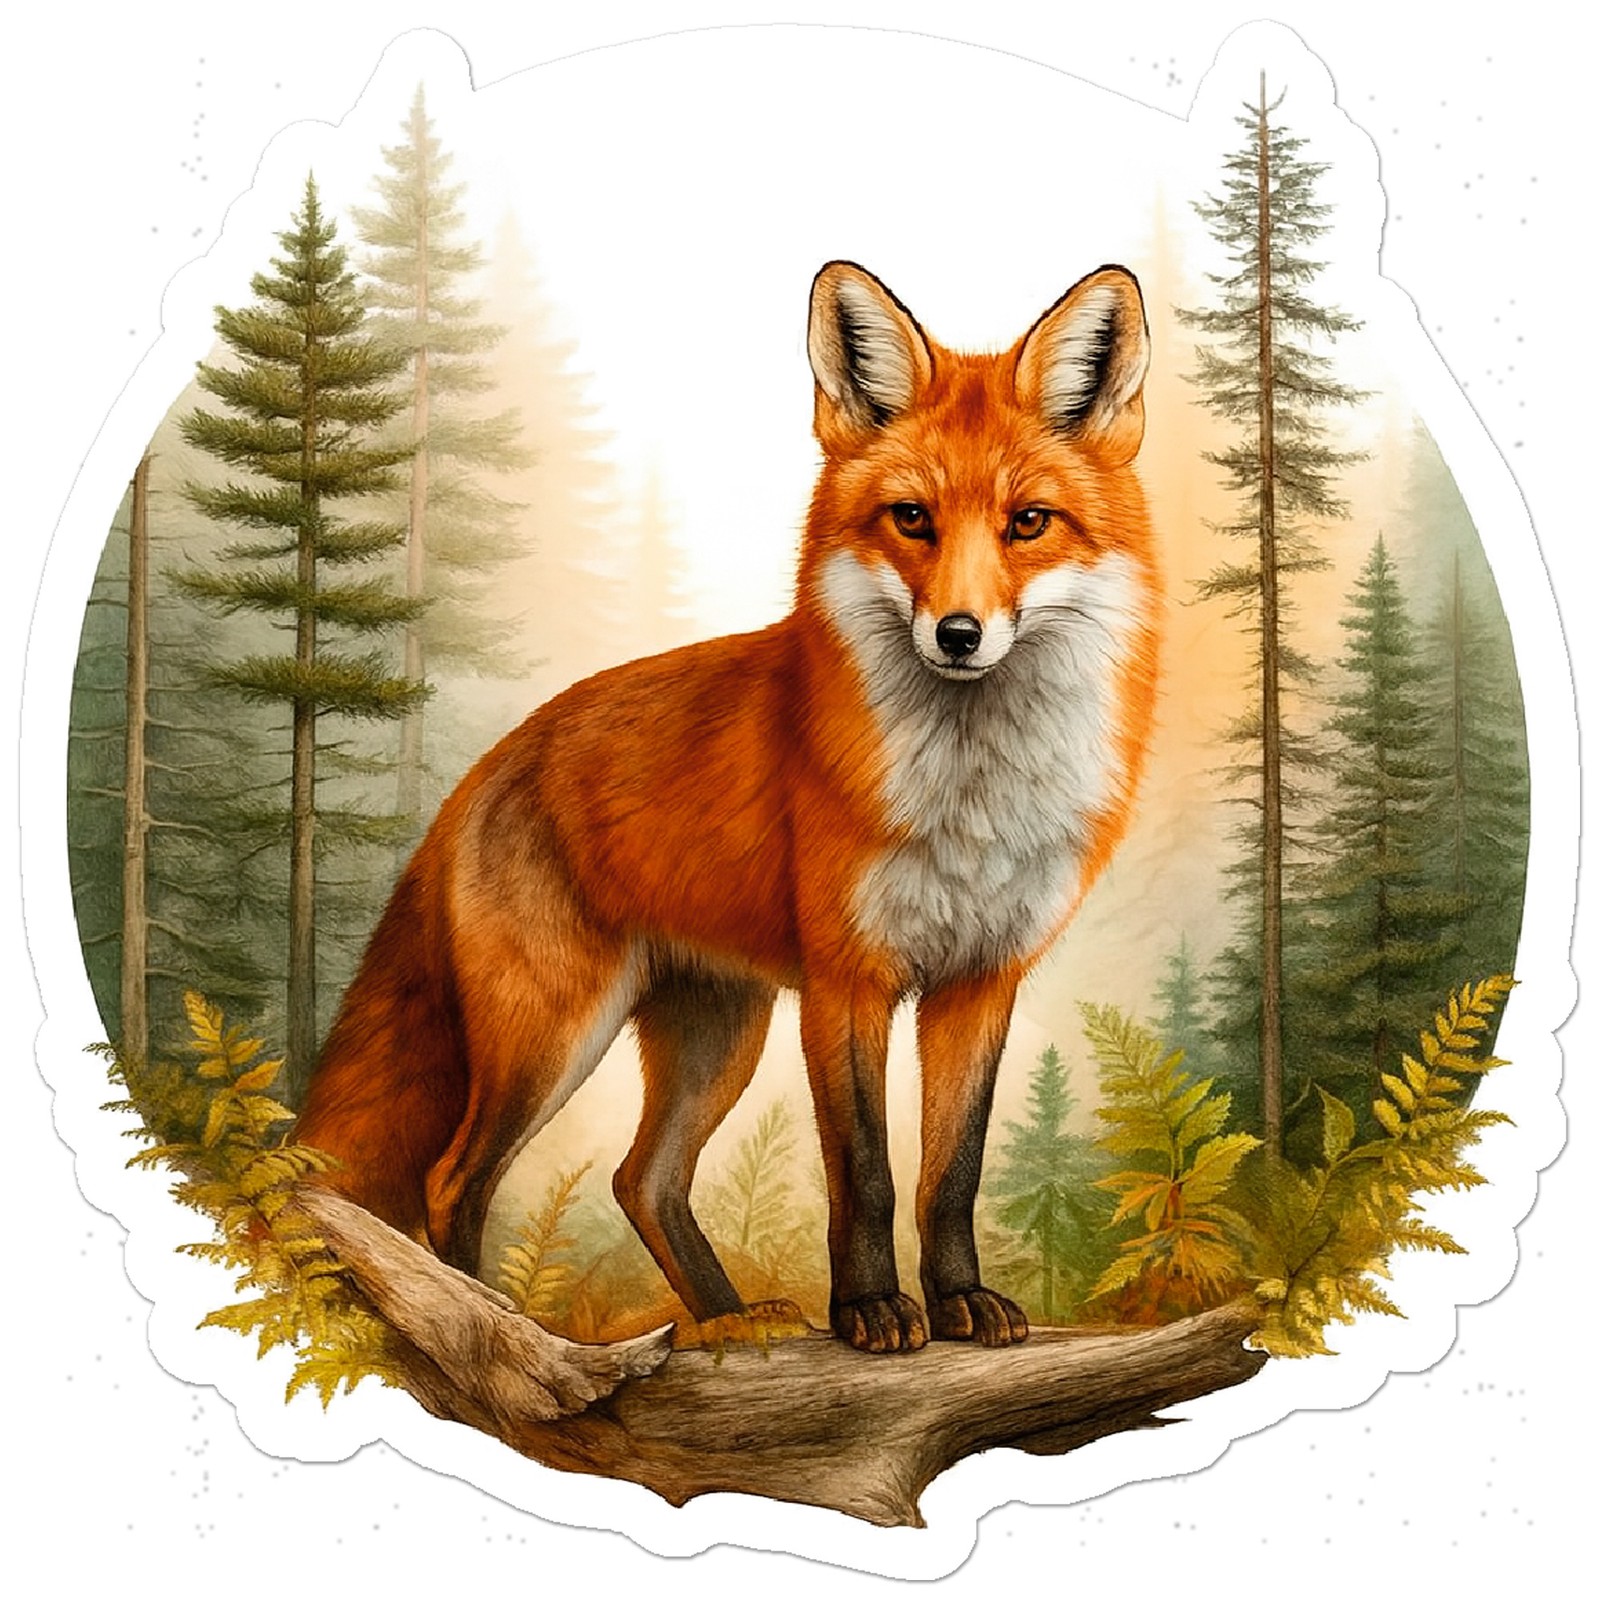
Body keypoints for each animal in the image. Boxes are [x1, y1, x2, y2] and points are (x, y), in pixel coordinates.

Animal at [293, 260, 1160, 1354]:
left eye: (1029, 522)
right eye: (912, 519)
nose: (959, 634)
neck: (970, 801)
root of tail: (491, 762)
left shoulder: (979, 982)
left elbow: (948, 1175)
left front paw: (960, 1300)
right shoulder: (846, 982)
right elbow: (866, 1175)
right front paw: (869, 1310)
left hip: (717, 1035)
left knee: (642, 1179)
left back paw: (731, 1322)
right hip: (552, 1035)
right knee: (455, 1177)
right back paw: (509, 1329)